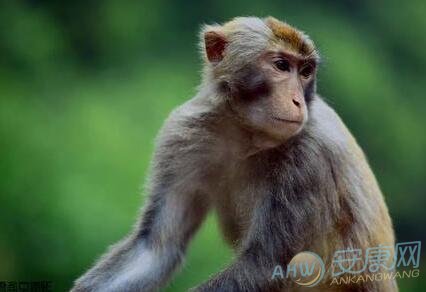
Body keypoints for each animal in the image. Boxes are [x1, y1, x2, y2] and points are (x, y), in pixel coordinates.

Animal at [72, 16, 396, 292]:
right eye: (281, 65)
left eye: (305, 72)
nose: (297, 101)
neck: (247, 134)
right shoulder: (181, 136)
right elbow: (156, 248)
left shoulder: (311, 158)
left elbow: (267, 266)